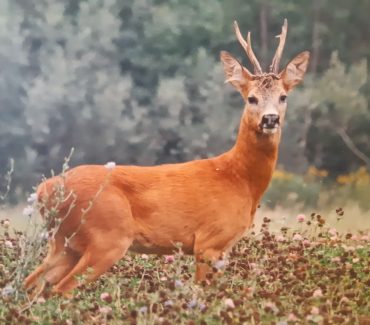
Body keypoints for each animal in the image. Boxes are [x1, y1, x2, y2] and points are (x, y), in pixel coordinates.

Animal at [24, 19, 310, 294]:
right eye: (251, 98)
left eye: (283, 96)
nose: (270, 119)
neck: (239, 179)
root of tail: (45, 189)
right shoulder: (208, 242)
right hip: (106, 237)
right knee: (61, 289)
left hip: (64, 243)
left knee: (32, 284)